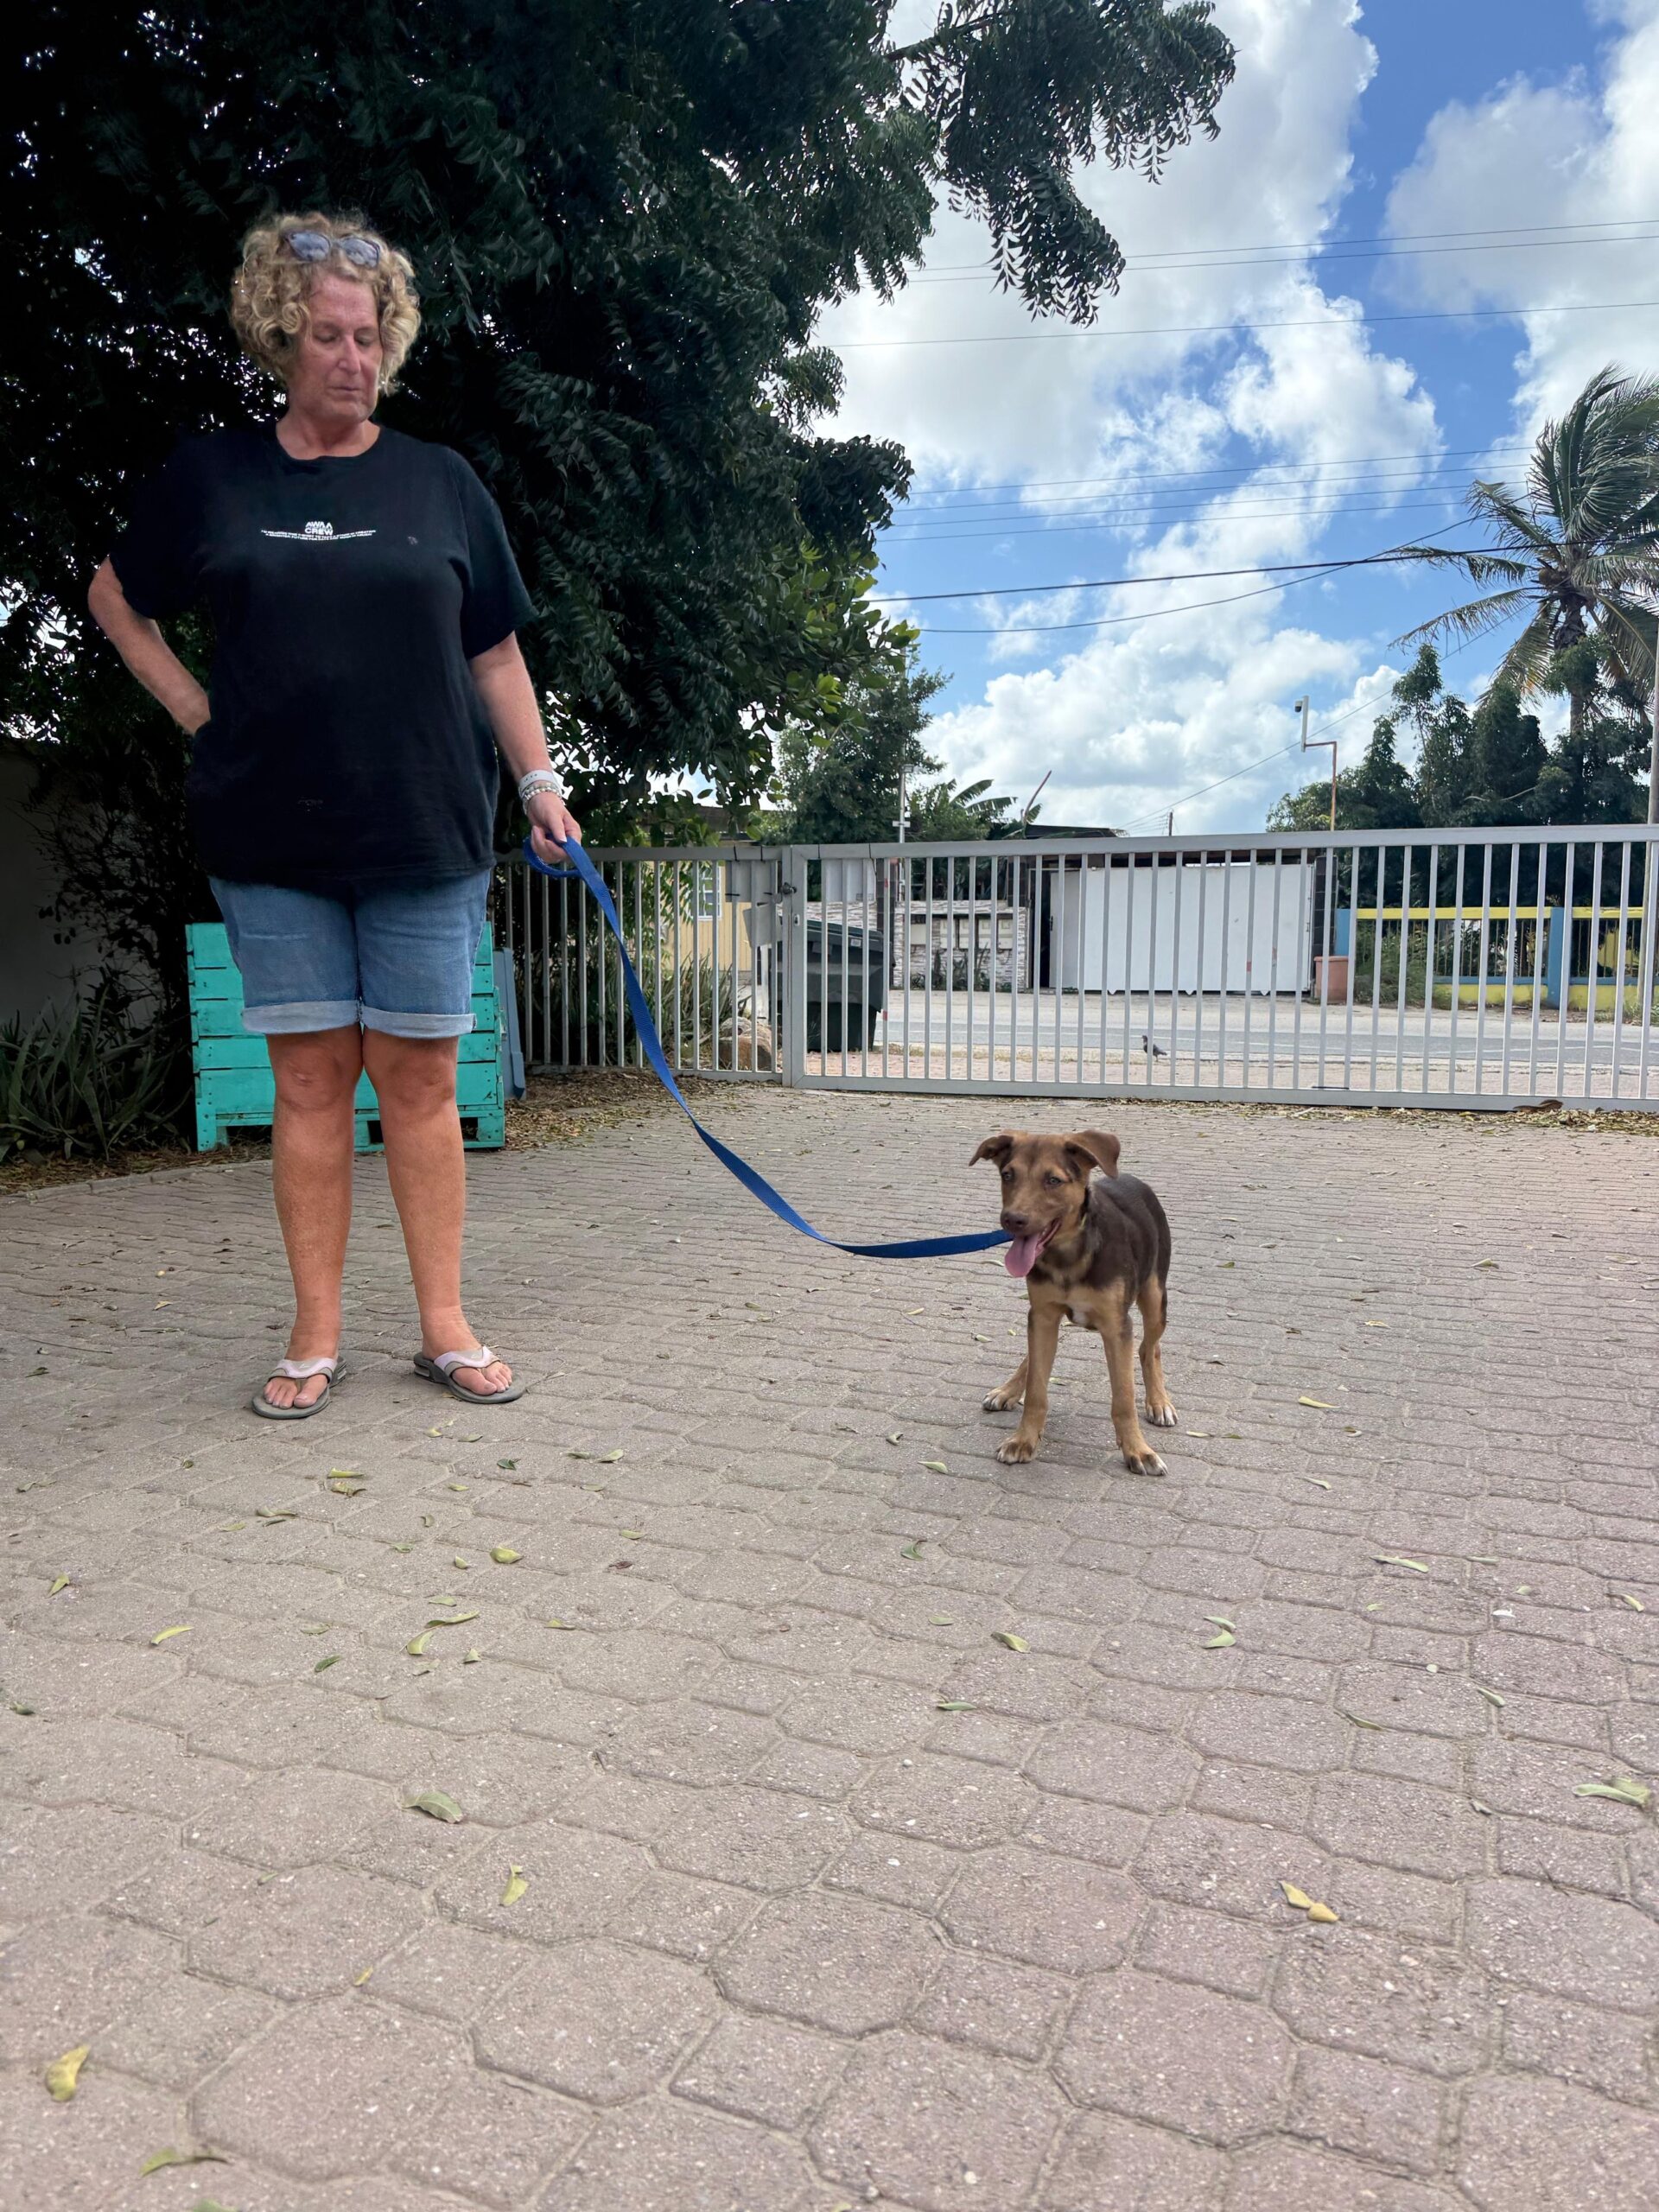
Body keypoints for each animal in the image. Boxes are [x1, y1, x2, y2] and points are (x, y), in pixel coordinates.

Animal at [972, 1128, 1176, 1474]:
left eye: (1053, 1180)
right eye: (1007, 1175)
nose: (1012, 1220)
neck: (1069, 1256)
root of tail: (1131, 1179)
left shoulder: (1117, 1326)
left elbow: (1124, 1398)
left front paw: (1138, 1450)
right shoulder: (1042, 1315)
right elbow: (1038, 1388)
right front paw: (1023, 1440)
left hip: (1154, 1296)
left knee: (1150, 1348)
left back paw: (1159, 1402)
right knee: (1033, 1359)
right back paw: (1009, 1389)